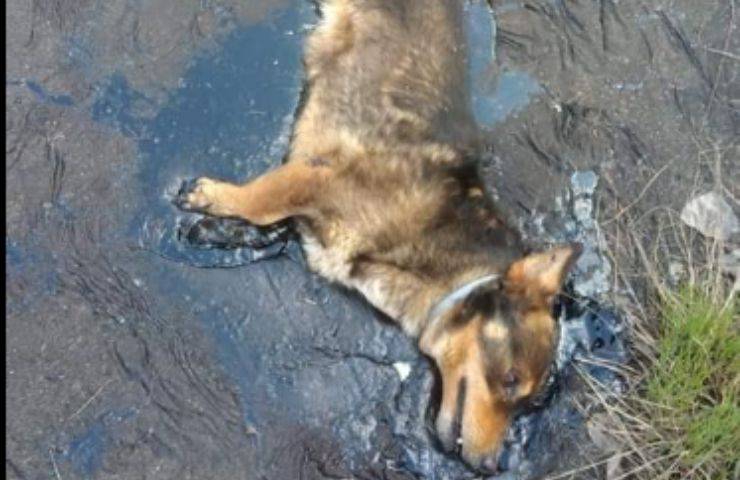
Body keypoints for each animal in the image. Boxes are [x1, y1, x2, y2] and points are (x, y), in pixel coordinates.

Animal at [176, 0, 580, 472]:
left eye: (526, 403)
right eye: (510, 378)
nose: (490, 468)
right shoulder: (315, 176)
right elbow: (259, 201)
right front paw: (214, 197)